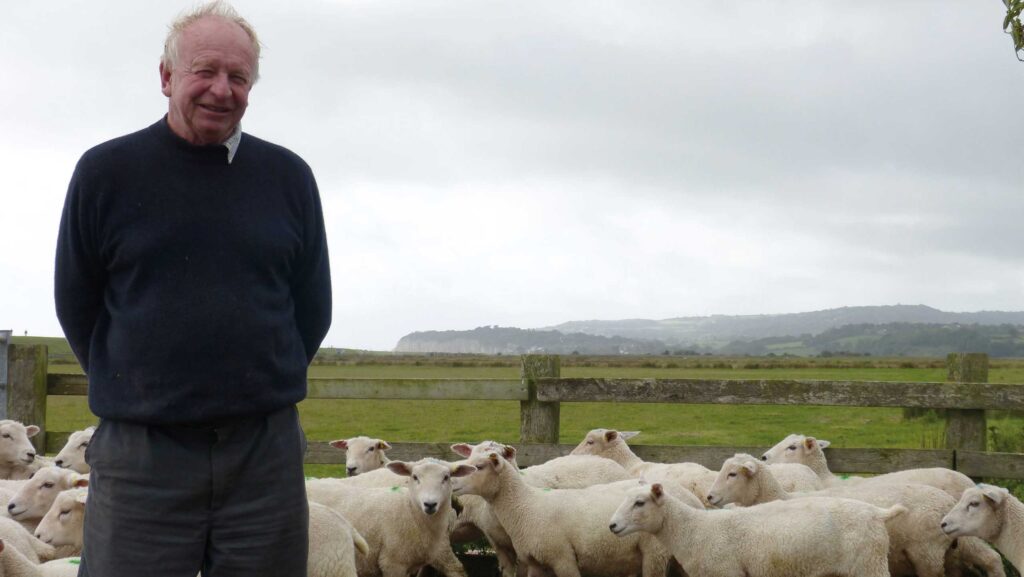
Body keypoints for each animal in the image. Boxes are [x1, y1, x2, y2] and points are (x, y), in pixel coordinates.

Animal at [454, 450, 675, 577]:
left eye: (479, 466)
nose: (452, 481)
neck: (525, 505)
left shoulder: (562, 558)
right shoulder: (535, 562)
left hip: (654, 554)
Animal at [610, 483, 901, 577]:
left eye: (639, 502)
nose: (612, 526)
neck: (694, 530)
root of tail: (878, 512)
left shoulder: (727, 572)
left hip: (868, 564)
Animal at [708, 452, 1003, 577]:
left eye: (732, 474)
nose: (709, 497)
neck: (779, 496)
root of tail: (945, 500)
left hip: (927, 551)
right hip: (956, 540)